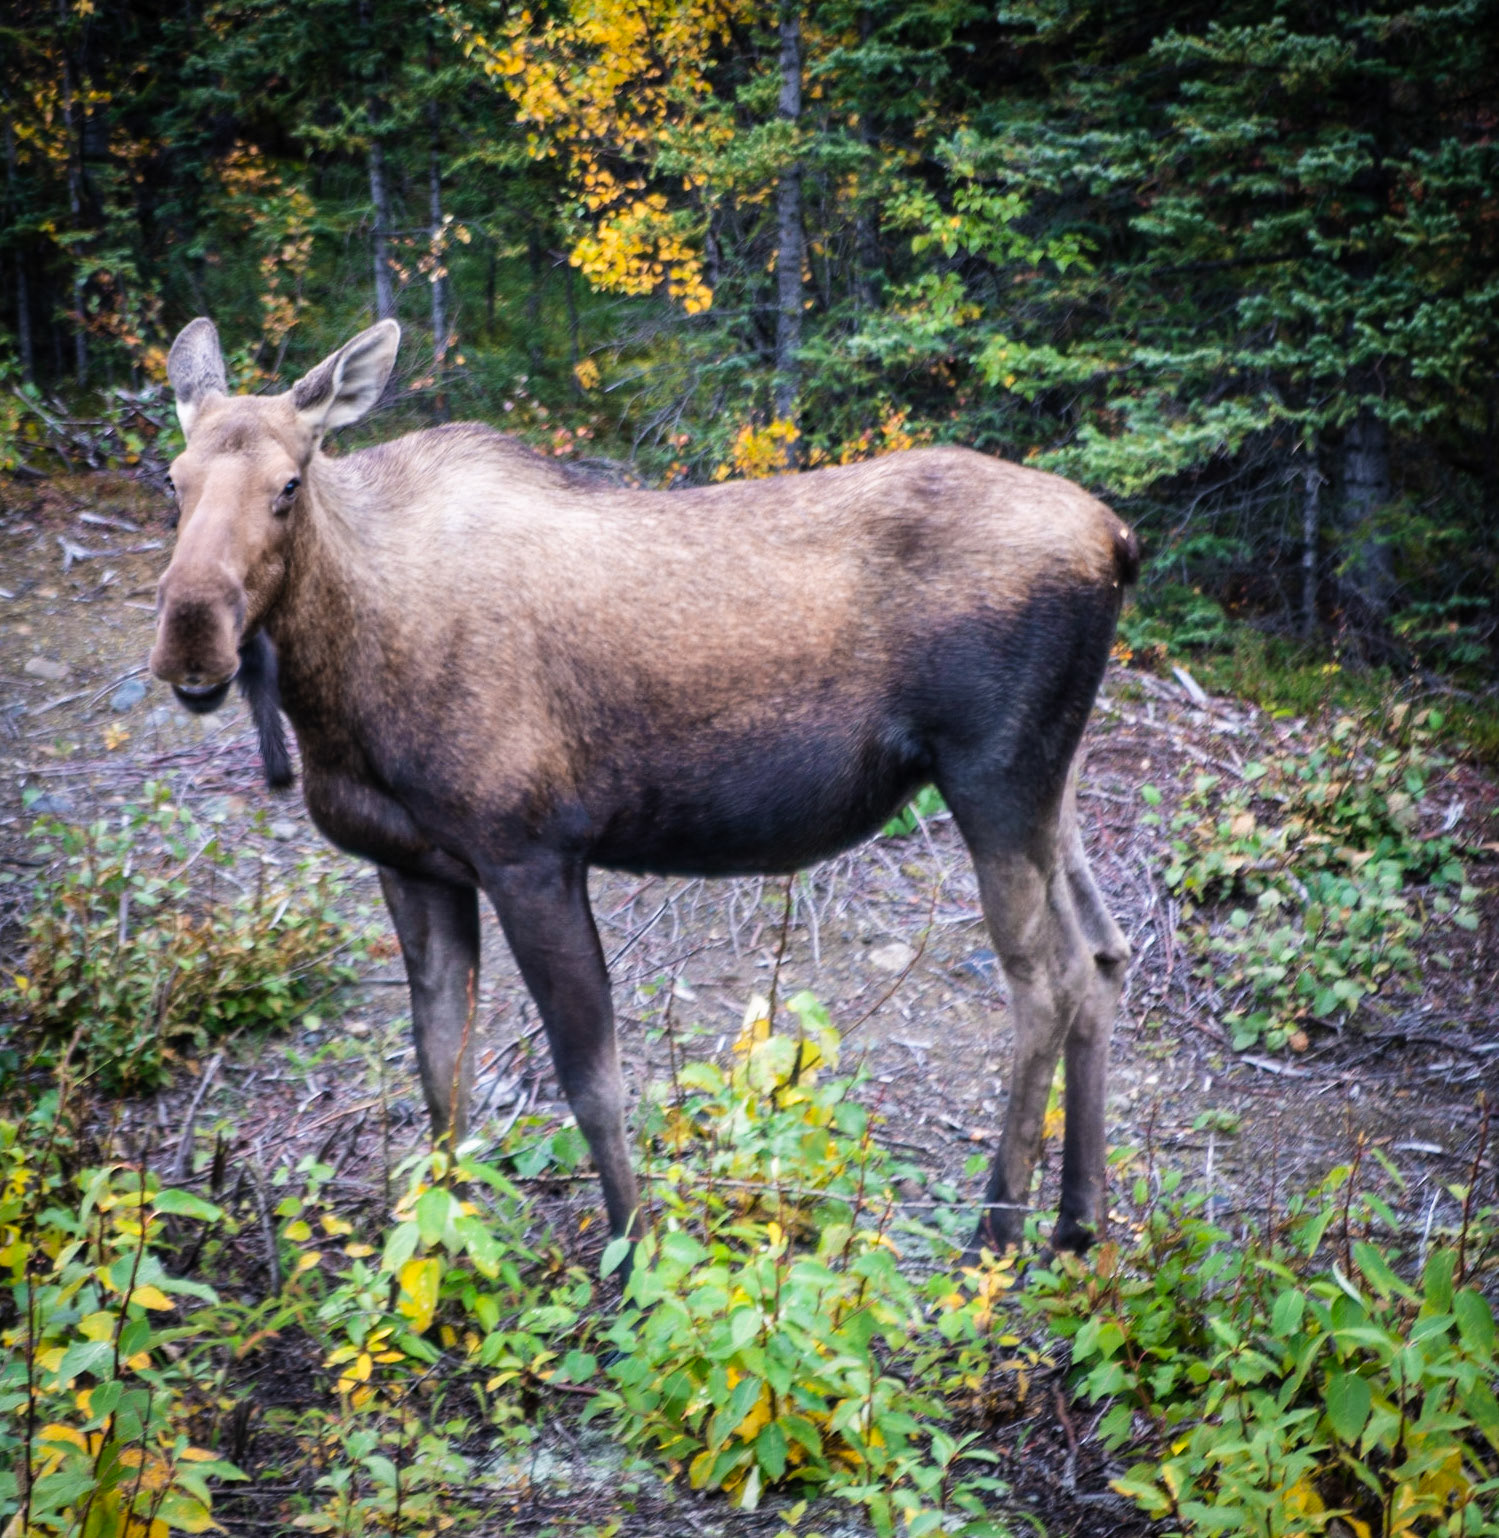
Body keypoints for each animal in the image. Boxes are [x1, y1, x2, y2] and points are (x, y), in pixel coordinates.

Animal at [150, 316, 1137, 1259]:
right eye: (174, 479)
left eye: (289, 484)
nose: (191, 636)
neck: (340, 686)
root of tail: (1118, 542)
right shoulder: (412, 865)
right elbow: (439, 1076)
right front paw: (441, 1247)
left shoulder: (532, 854)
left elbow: (591, 1082)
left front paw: (632, 1256)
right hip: (1052, 783)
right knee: (1101, 955)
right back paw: (1076, 1220)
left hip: (992, 779)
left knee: (1044, 983)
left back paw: (996, 1231)